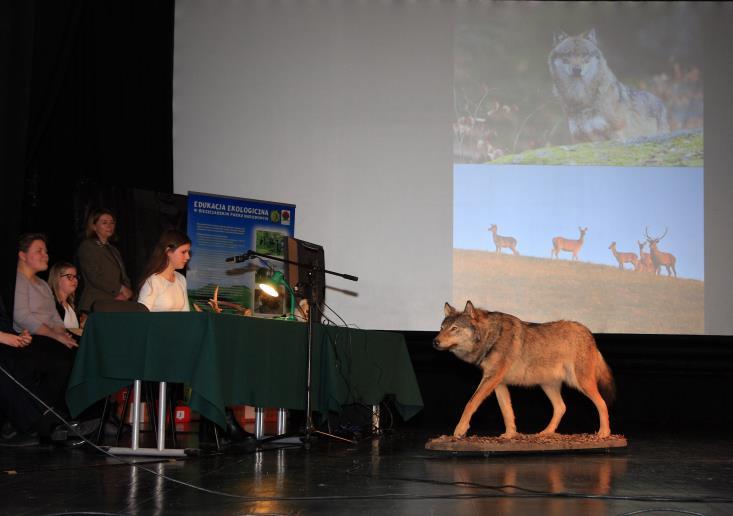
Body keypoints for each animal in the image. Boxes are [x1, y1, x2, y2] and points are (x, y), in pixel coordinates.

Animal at [434, 302, 612, 440]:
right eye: (442, 328)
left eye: (454, 328)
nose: (435, 341)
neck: (491, 336)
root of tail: (589, 334)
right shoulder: (498, 383)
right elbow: (506, 411)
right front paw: (510, 435)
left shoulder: (491, 378)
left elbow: (470, 403)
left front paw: (459, 430)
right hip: (548, 385)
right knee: (561, 407)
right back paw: (545, 433)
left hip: (581, 383)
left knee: (602, 403)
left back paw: (604, 433)